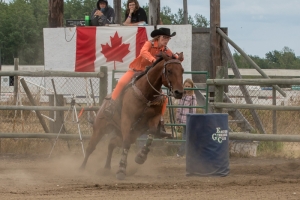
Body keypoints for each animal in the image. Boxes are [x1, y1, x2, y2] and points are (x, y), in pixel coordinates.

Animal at [79, 51, 184, 180]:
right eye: (169, 70)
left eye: (182, 70)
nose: (179, 92)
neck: (147, 94)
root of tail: (103, 103)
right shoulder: (127, 120)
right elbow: (126, 143)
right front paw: (121, 170)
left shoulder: (154, 118)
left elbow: (152, 133)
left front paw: (141, 157)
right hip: (100, 129)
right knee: (91, 147)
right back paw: (82, 168)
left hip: (129, 133)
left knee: (112, 143)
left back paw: (107, 168)